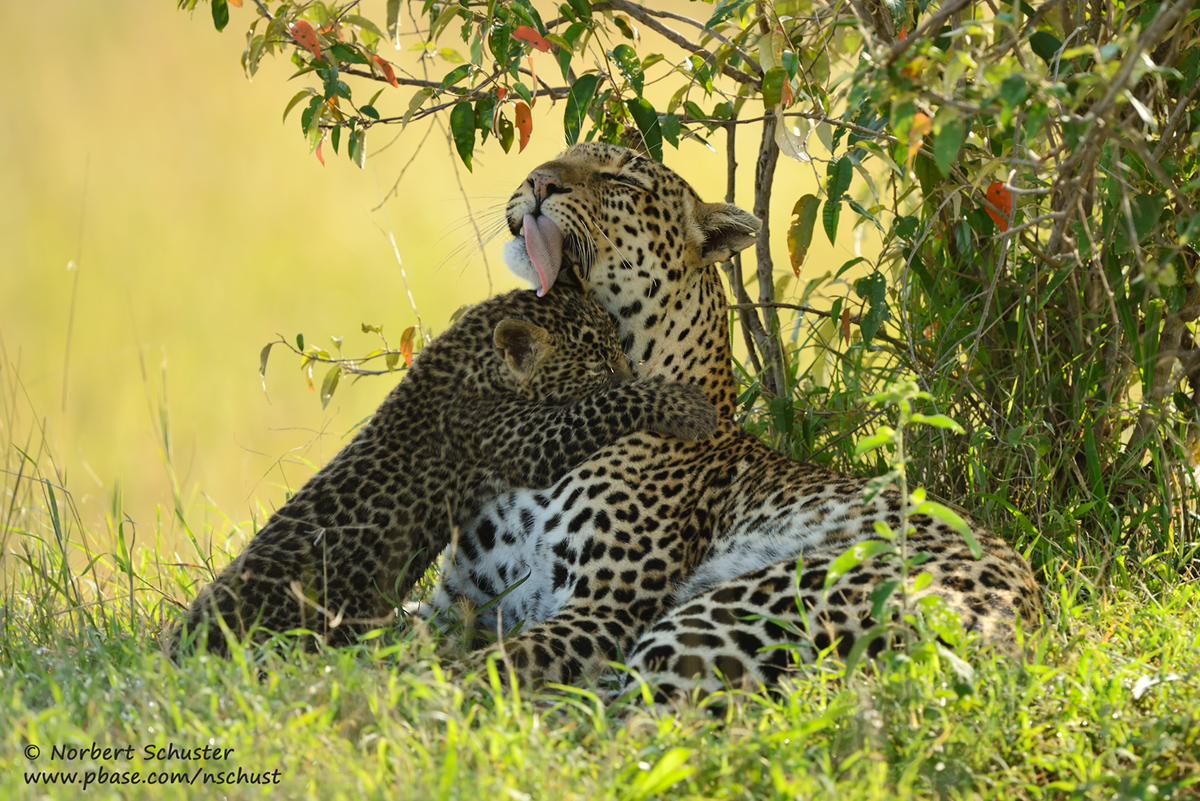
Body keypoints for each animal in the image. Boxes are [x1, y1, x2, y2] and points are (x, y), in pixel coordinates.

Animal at [168, 281, 710, 657]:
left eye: (619, 349)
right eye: (599, 367)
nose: (629, 369)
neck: (475, 357)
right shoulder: (522, 439)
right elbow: (600, 407)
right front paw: (682, 405)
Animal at [434, 140, 1041, 695]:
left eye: (622, 181)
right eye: (561, 152)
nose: (538, 181)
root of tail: (1016, 638)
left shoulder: (600, 610)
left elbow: (477, 674)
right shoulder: (459, 596)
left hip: (735, 607)